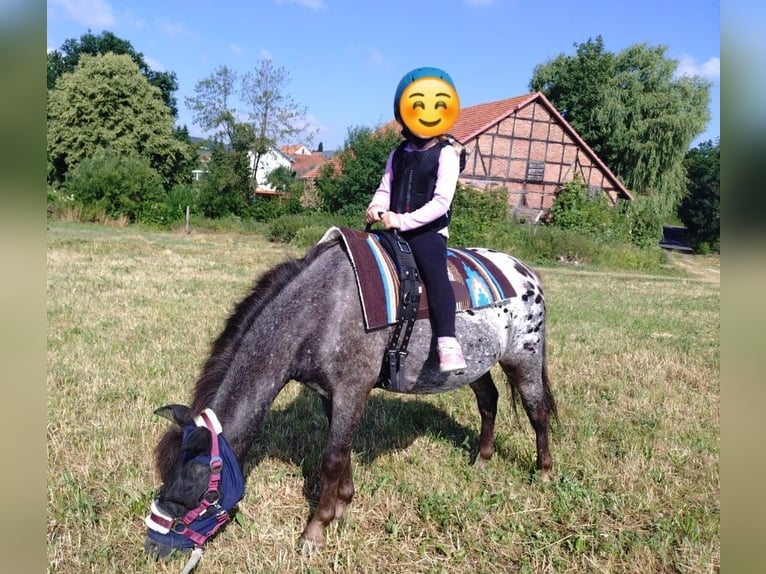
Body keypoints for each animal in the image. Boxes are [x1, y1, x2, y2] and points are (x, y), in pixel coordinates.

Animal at [143, 230, 557, 560]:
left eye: (189, 495)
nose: (153, 549)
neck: (321, 309)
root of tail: (526, 273)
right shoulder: (331, 395)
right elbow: (342, 455)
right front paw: (342, 504)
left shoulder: (351, 391)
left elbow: (331, 459)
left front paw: (315, 531)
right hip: (478, 365)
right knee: (488, 402)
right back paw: (482, 461)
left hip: (524, 359)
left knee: (537, 412)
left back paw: (544, 474)